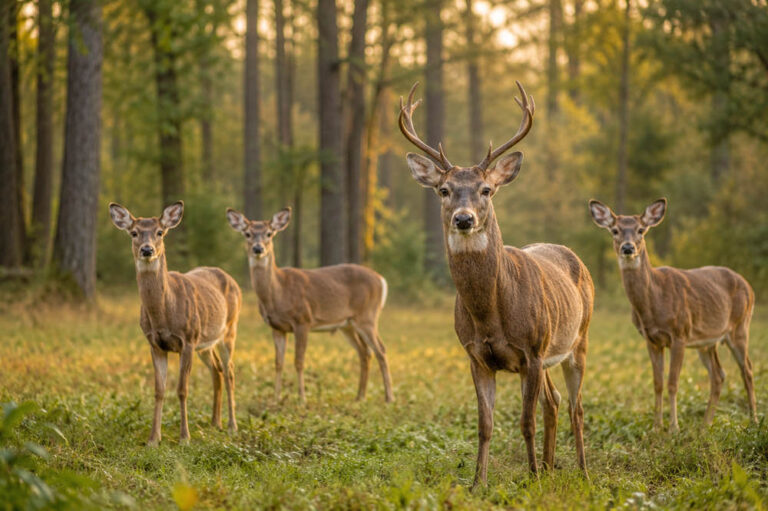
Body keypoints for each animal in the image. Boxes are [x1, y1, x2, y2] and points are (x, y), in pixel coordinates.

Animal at [109, 201, 241, 445]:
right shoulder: (155, 344)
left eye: (160, 232)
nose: (147, 250)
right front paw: (153, 439)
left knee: (229, 371)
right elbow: (159, 390)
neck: (163, 314)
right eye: (134, 233)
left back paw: (231, 425)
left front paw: (184, 438)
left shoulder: (187, 340)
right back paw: (215, 422)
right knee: (217, 370)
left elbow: (182, 389)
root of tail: (229, 277)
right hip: (205, 342)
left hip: (229, 329)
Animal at [225, 206, 394, 404]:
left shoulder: (303, 320)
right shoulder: (276, 327)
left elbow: (299, 361)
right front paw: (276, 399)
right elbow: (278, 363)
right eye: (247, 233)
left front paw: (302, 399)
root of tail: (381, 280)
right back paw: (360, 396)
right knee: (365, 352)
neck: (278, 292)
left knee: (381, 350)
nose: (258, 248)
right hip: (348, 324)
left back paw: (389, 397)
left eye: (269, 233)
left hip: (367, 316)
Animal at [398, 81, 595, 488]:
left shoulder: (531, 351)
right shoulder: (476, 355)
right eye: (444, 189)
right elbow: (485, 425)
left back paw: (581, 472)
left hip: (578, 339)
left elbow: (525, 422)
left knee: (576, 406)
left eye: (486, 189)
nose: (463, 219)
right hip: (551, 353)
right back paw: (550, 466)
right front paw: (478, 483)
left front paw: (532, 478)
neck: (491, 313)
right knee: (554, 401)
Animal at [589, 198, 757, 431]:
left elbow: (672, 383)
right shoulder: (651, 340)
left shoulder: (680, 334)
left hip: (740, 326)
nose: (628, 248)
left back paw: (753, 420)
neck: (653, 302)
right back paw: (705, 425)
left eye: (641, 230)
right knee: (719, 375)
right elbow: (657, 383)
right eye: (615, 230)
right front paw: (656, 426)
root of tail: (748, 285)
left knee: (747, 370)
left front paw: (673, 428)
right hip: (707, 341)